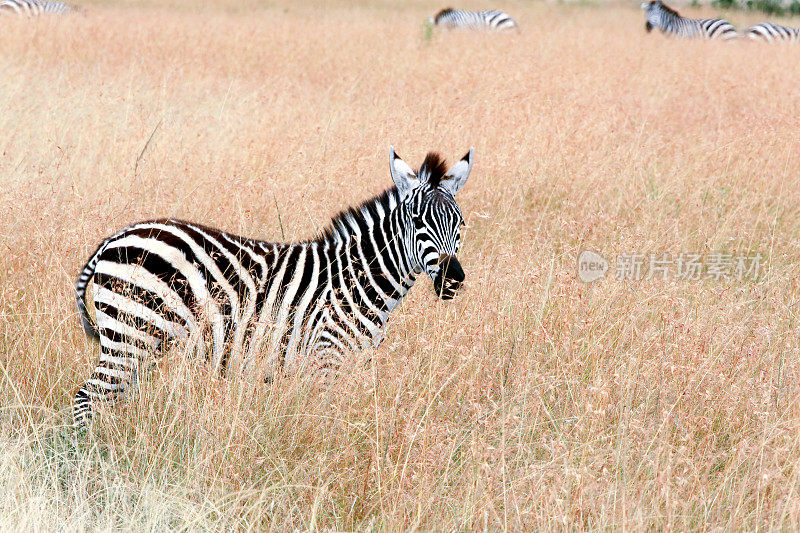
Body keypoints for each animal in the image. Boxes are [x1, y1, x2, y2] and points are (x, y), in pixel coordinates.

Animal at [70, 147, 476, 428]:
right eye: (417, 221)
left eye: (460, 223)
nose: (452, 278)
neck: (358, 280)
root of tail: (114, 238)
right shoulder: (325, 358)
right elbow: (325, 422)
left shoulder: (352, 363)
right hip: (130, 333)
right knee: (86, 398)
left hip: (142, 341)